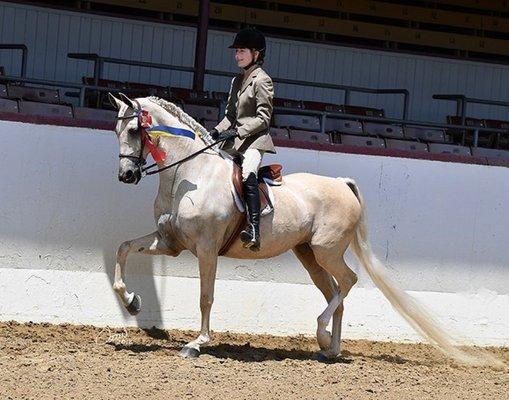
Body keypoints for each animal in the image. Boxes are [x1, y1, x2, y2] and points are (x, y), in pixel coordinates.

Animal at [107, 92, 488, 364]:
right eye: (116, 130)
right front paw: (132, 303)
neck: (189, 176)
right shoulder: (170, 242)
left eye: (133, 130)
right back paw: (330, 348)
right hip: (309, 256)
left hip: (327, 250)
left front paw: (197, 343)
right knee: (335, 290)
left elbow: (206, 297)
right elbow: (124, 248)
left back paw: (321, 334)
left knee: (348, 281)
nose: (126, 175)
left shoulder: (206, 250)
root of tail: (341, 183)